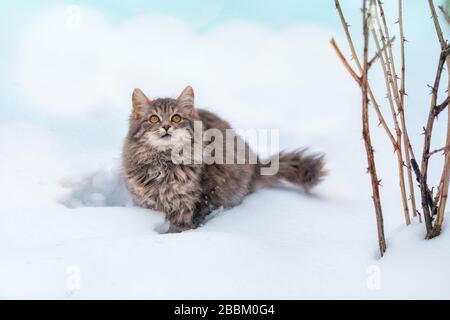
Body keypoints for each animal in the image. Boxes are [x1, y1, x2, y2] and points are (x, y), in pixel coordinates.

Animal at [123, 86, 326, 232]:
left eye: (176, 118)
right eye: (154, 119)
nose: (166, 127)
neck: (163, 163)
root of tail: (256, 165)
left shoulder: (190, 203)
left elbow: (180, 227)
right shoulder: (145, 201)